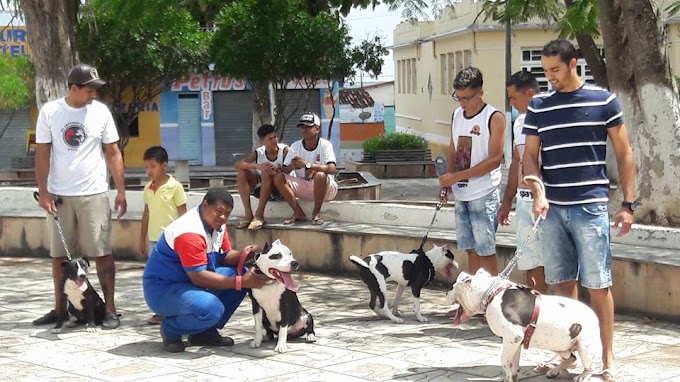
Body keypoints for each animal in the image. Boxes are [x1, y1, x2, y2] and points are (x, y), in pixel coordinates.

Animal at [446, 268, 600, 382]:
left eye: (453, 286)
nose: (447, 293)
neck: (491, 293)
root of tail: (594, 316)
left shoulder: (512, 337)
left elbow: (504, 360)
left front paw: (508, 375)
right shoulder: (516, 341)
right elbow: (513, 363)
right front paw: (510, 376)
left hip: (585, 347)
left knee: (590, 366)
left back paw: (582, 376)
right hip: (559, 345)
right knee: (572, 357)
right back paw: (554, 371)